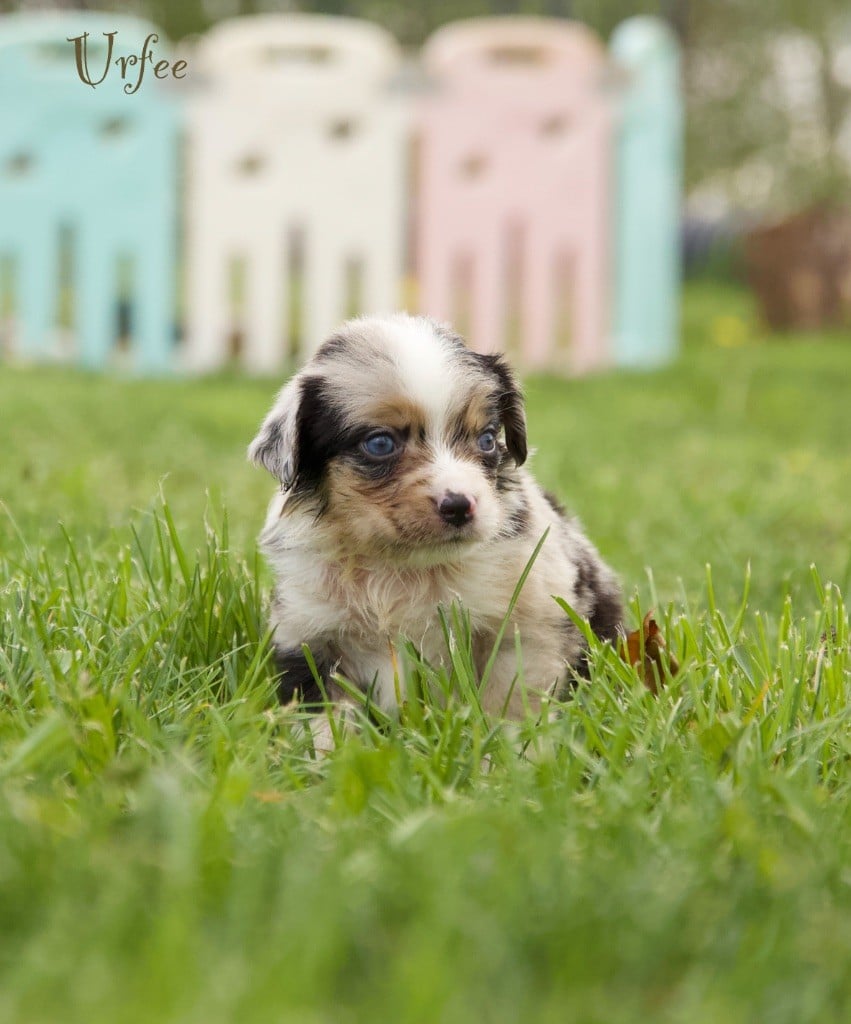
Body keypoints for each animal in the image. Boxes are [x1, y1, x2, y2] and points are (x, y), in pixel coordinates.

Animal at [249, 314, 622, 734]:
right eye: (380, 443)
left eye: (487, 439)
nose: (460, 506)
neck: (402, 566)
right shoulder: (309, 634)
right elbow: (325, 720)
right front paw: (327, 751)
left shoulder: (528, 621)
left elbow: (509, 700)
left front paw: (509, 746)